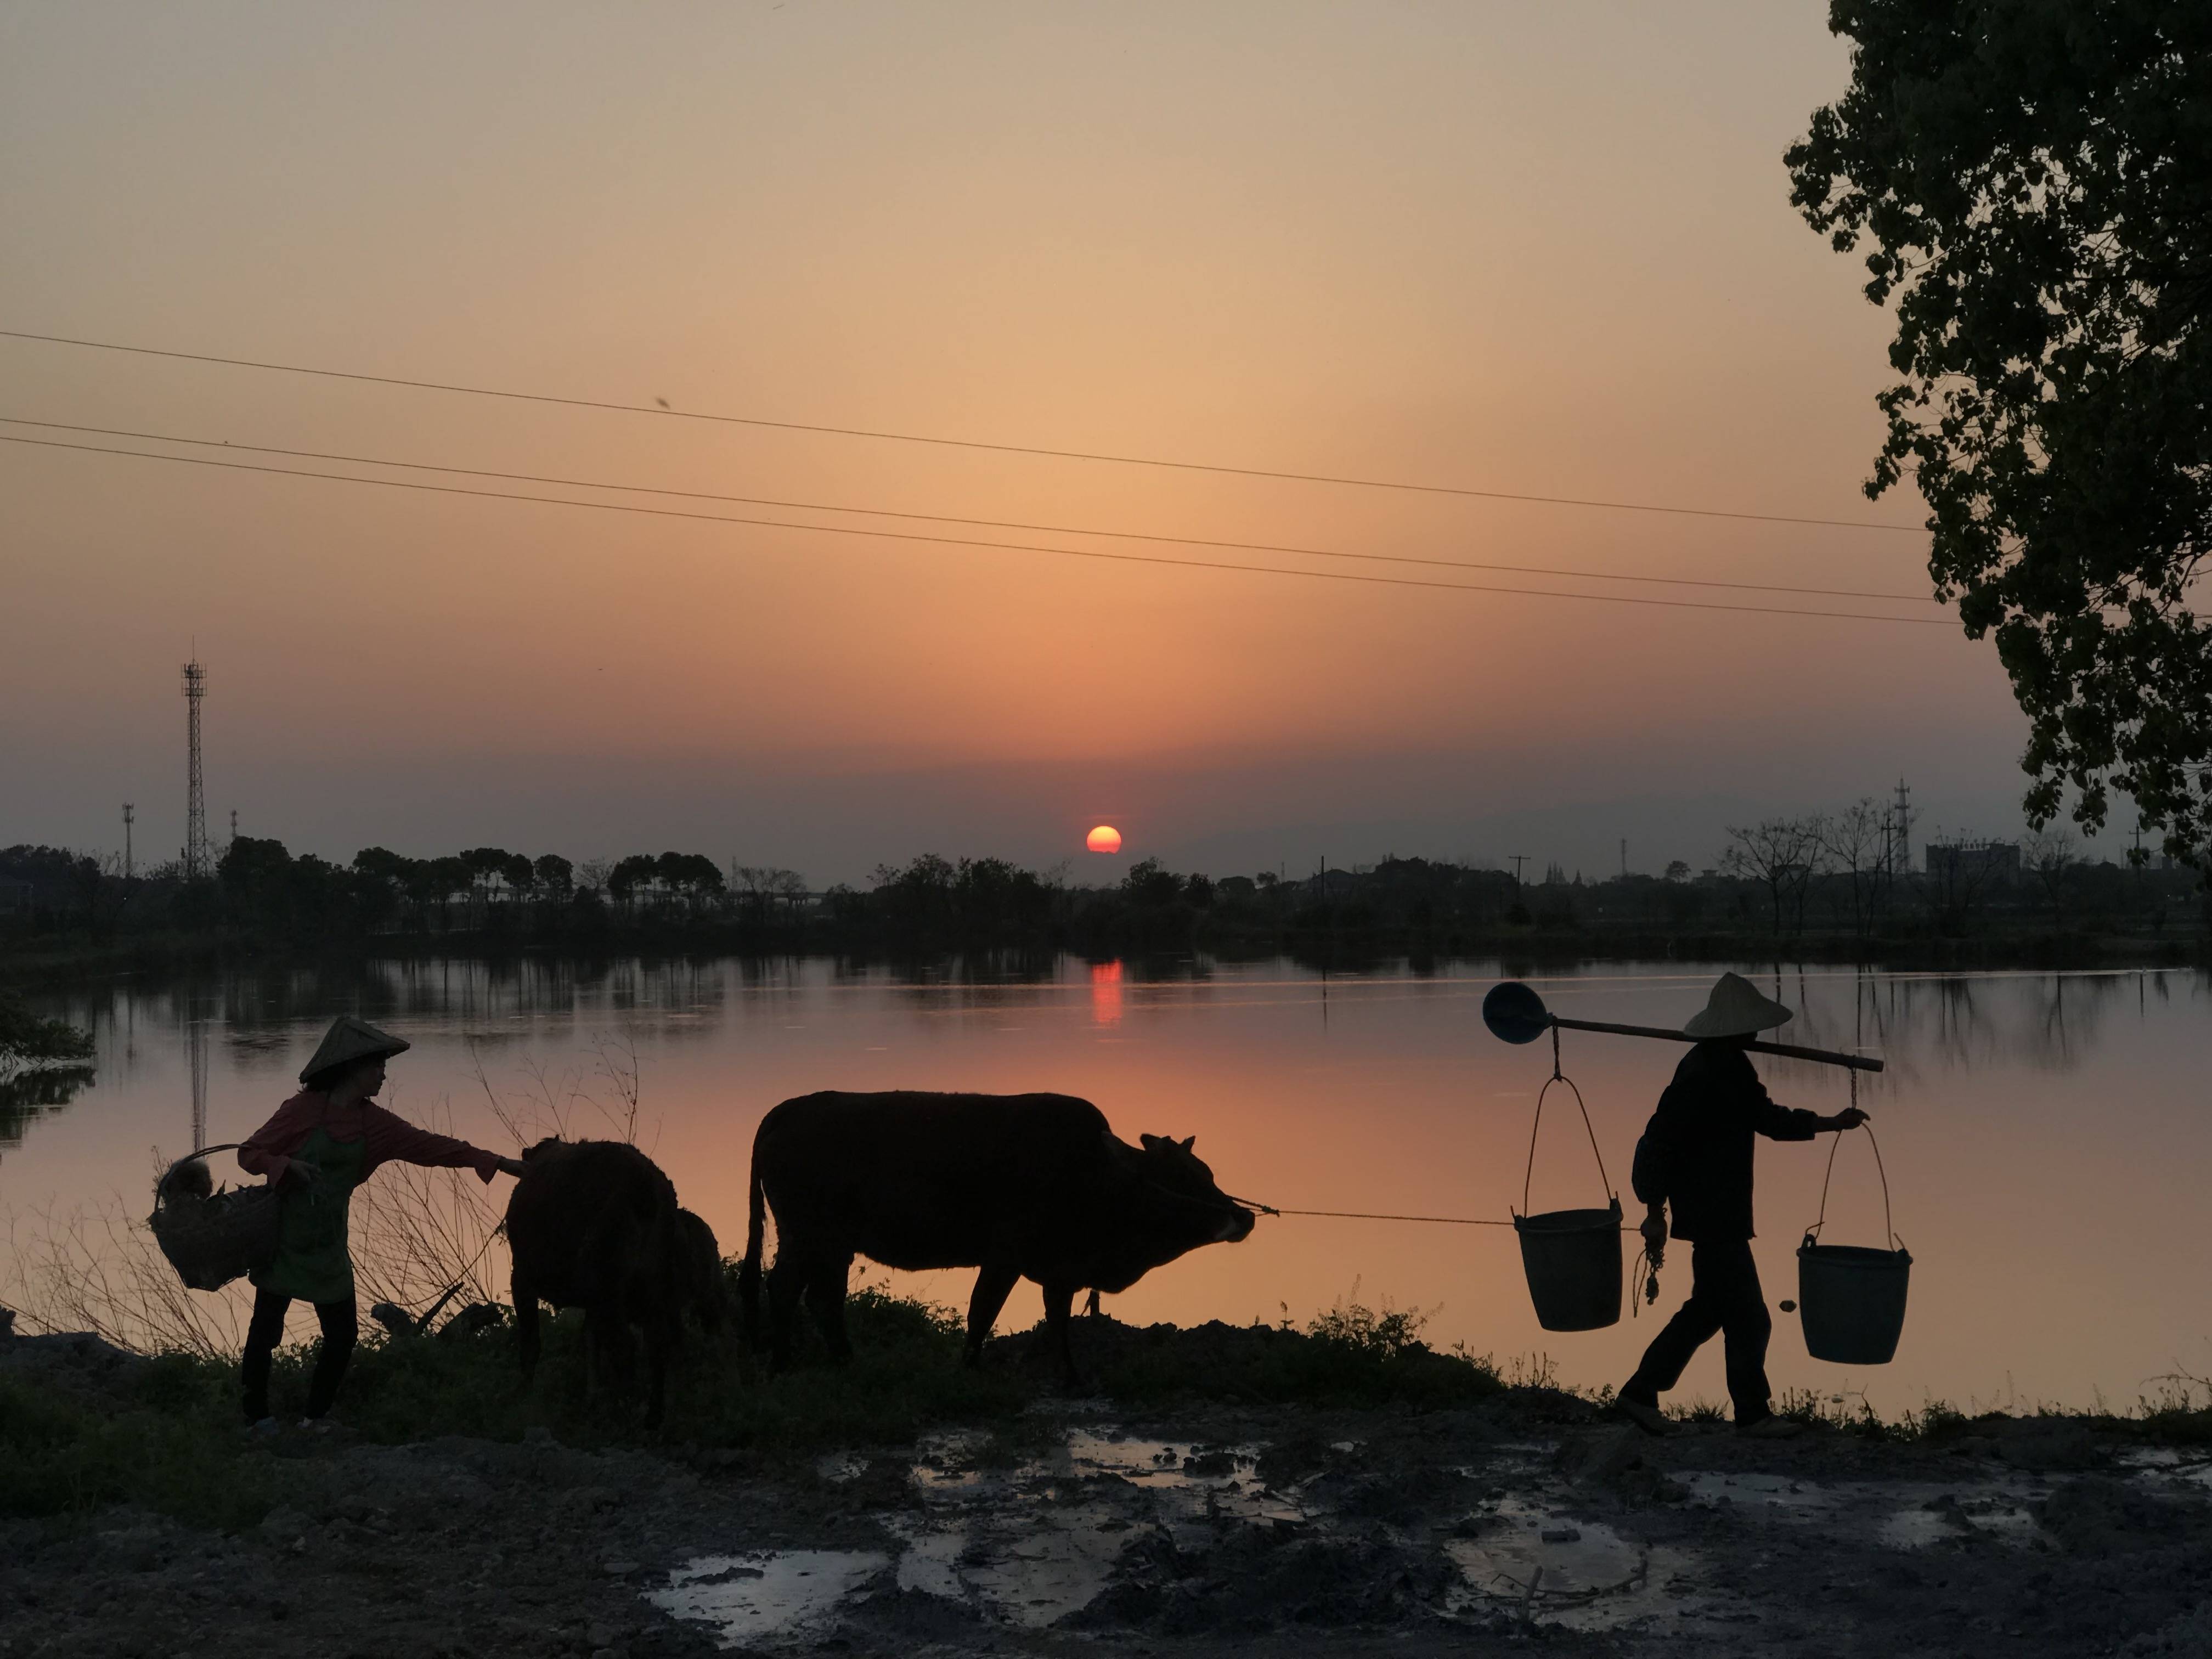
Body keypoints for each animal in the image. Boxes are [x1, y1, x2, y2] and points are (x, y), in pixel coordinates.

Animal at [509, 1141, 681, 1433]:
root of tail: (644, 1181)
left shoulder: (521, 1279)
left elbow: (532, 1343)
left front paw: (523, 1396)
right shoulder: (592, 1302)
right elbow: (591, 1343)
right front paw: (592, 1398)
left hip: (609, 1285)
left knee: (625, 1346)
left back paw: (624, 1413)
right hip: (652, 1287)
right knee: (658, 1344)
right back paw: (653, 1418)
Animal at [743, 1092, 1256, 1389]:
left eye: (1207, 1172)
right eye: (1183, 1178)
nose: (1243, 1216)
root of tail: (788, 1109)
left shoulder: (1060, 1267)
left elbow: (1057, 1320)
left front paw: (1070, 1376)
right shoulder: (1007, 1255)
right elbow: (983, 1312)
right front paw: (970, 1370)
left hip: (832, 1245)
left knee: (823, 1299)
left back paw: (846, 1363)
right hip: (806, 1234)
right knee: (785, 1289)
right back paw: (781, 1366)